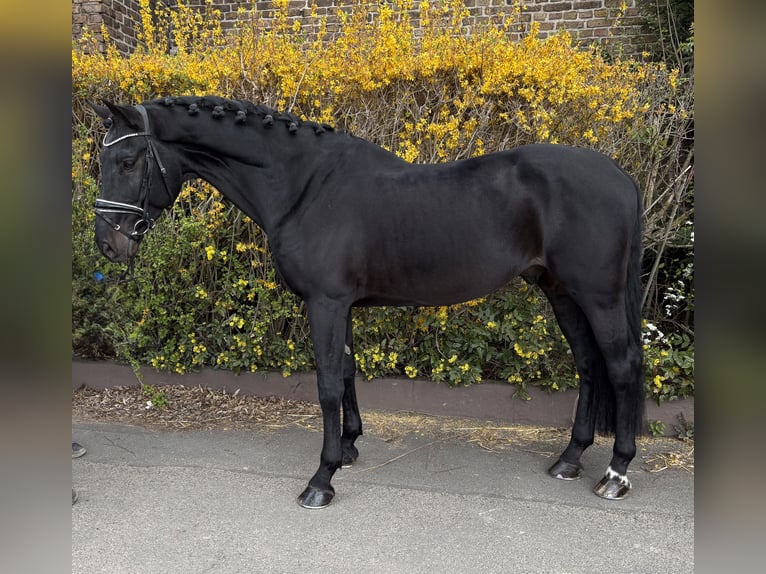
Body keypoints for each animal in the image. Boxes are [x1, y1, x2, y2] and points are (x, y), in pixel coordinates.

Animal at [89, 95, 644, 509]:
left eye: (127, 161)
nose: (108, 245)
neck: (307, 186)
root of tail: (621, 178)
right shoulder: (343, 305)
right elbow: (349, 373)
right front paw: (351, 446)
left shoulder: (327, 303)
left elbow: (328, 385)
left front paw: (322, 478)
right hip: (561, 292)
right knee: (589, 365)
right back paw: (570, 459)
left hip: (598, 296)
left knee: (621, 367)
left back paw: (616, 472)